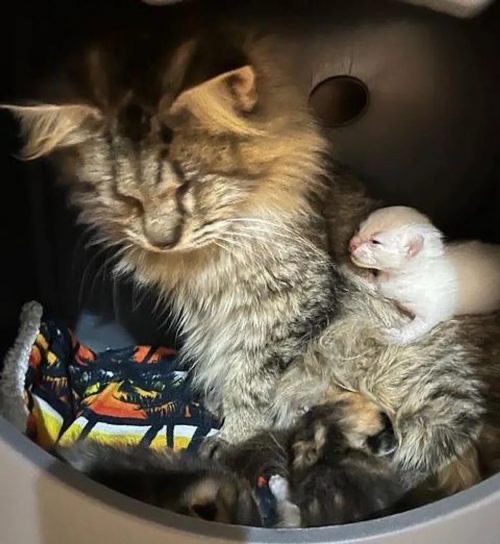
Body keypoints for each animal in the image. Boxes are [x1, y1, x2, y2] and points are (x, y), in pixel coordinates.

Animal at [348, 206, 500, 342]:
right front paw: (363, 276)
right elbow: (377, 285)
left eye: (375, 242)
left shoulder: (433, 310)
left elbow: (418, 326)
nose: (351, 243)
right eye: (359, 229)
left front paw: (396, 336)